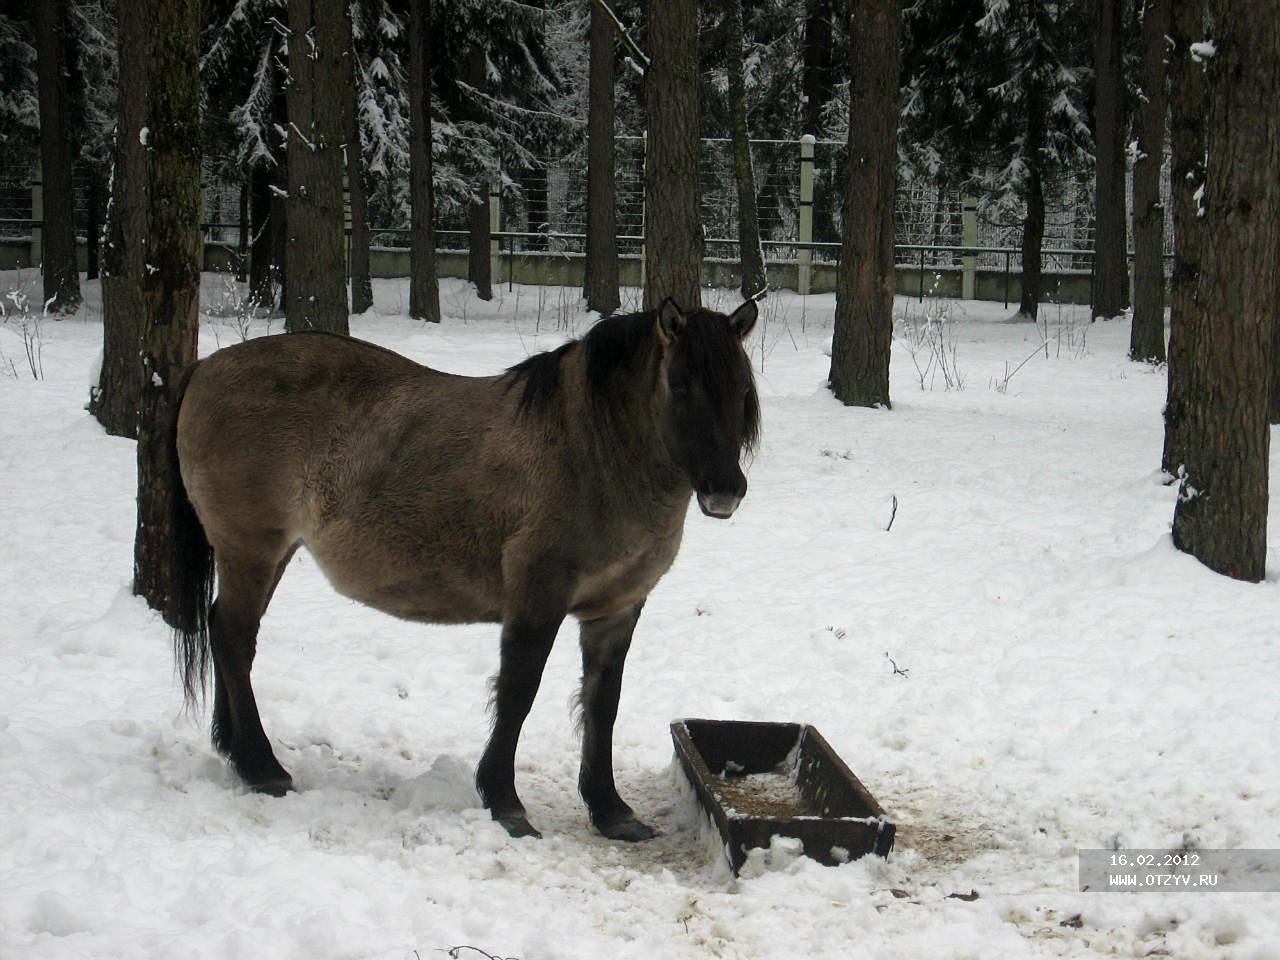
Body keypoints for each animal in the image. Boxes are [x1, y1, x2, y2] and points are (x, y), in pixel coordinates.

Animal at [163, 299, 752, 839]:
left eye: (742, 391)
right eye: (680, 386)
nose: (726, 490)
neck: (592, 451)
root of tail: (206, 367)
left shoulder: (616, 610)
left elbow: (602, 703)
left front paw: (611, 811)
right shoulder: (538, 600)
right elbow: (518, 693)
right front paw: (505, 802)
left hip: (269, 554)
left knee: (227, 635)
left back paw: (236, 752)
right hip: (251, 550)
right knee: (234, 638)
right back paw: (262, 767)